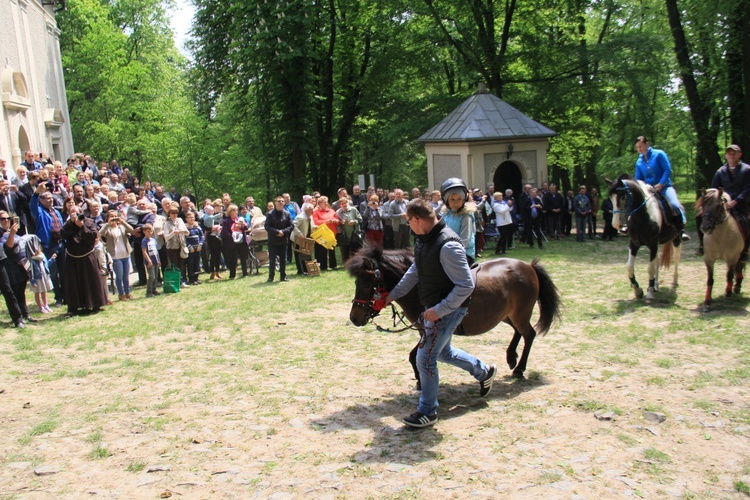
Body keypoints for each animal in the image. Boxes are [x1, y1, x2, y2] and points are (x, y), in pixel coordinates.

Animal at [344, 244, 560, 380]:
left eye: (367, 283)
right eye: (355, 283)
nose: (354, 317)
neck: (418, 286)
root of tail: (529, 266)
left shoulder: (427, 331)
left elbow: (415, 356)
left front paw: (420, 381)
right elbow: (414, 356)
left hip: (520, 312)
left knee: (529, 334)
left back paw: (519, 368)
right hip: (507, 315)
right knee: (518, 331)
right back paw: (511, 357)